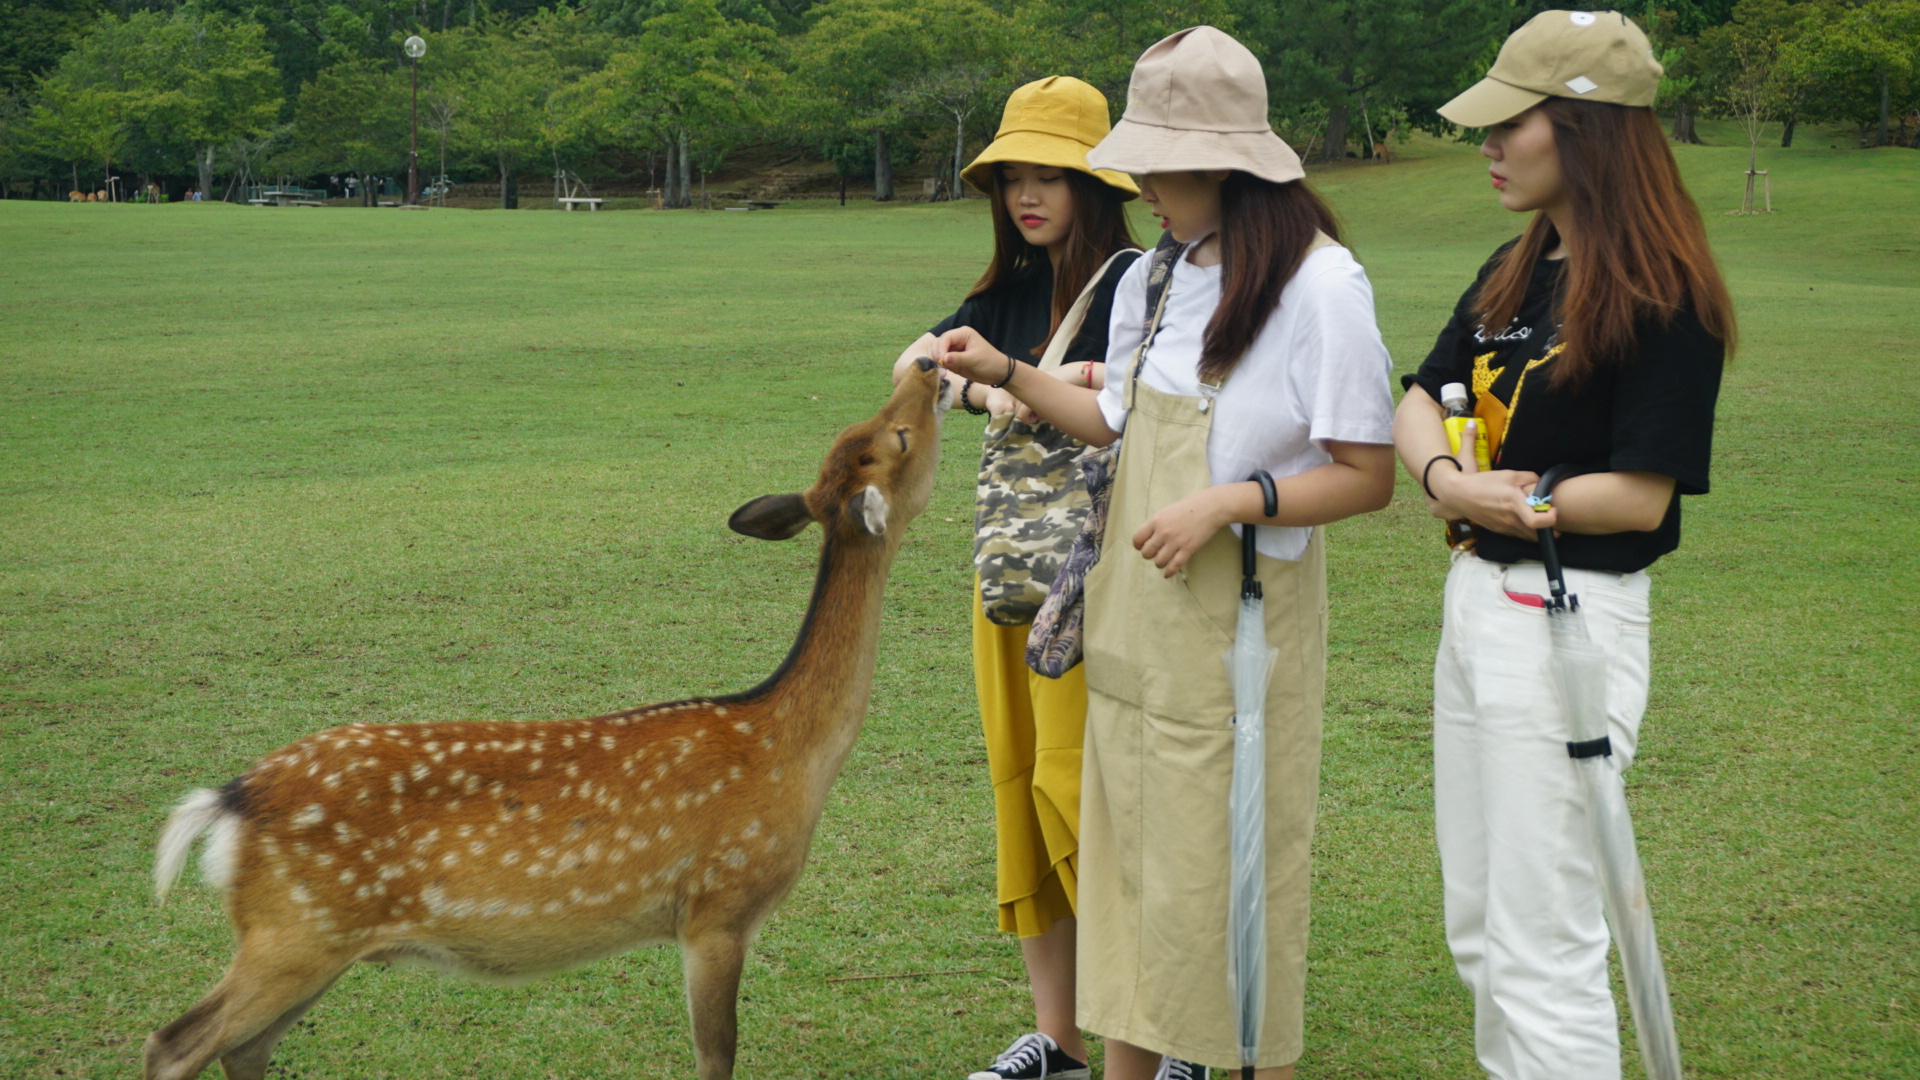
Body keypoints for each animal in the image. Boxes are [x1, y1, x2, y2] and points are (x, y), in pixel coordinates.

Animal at [145, 359, 956, 1076]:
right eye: (899, 436)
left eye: (867, 430)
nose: (926, 368)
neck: (788, 750)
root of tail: (231, 800)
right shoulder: (717, 907)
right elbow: (716, 1054)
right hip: (294, 932)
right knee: (176, 1042)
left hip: (308, 940)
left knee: (244, 1048)